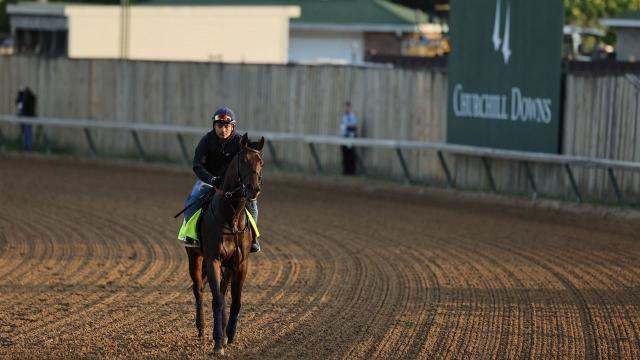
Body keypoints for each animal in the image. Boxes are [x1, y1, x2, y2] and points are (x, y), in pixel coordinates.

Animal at [185, 132, 264, 354]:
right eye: (243, 160)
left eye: (261, 162)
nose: (253, 189)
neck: (231, 217)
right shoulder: (213, 259)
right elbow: (217, 300)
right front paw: (218, 342)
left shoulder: (240, 263)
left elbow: (235, 301)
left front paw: (230, 335)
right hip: (194, 258)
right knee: (199, 289)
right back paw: (202, 328)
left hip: (228, 266)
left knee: (222, 289)